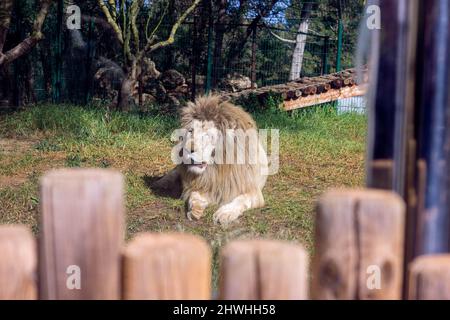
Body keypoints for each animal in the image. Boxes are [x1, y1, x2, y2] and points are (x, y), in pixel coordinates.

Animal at [156, 95, 268, 225]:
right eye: (190, 131)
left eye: (208, 135)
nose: (187, 150)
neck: (218, 169)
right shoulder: (203, 184)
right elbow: (193, 195)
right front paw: (196, 210)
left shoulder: (254, 191)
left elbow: (241, 199)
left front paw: (224, 213)